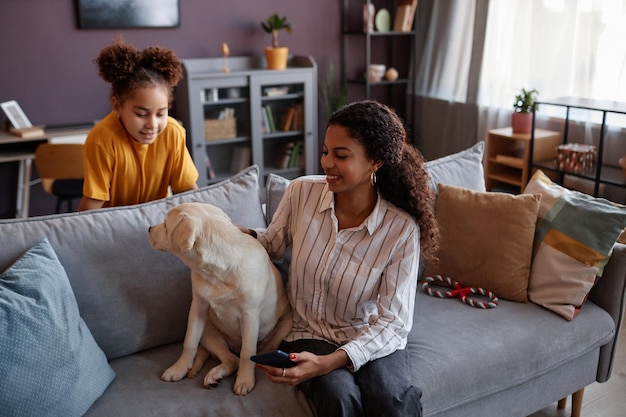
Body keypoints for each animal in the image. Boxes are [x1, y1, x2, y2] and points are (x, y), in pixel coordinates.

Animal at [148, 203, 290, 394]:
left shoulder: (250, 316)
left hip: (285, 324)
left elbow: (247, 353)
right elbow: (189, 342)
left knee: (251, 353)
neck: (217, 272)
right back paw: (214, 376)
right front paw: (179, 369)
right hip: (208, 331)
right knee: (231, 359)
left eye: (165, 225)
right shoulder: (197, 307)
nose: (148, 228)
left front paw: (245, 380)